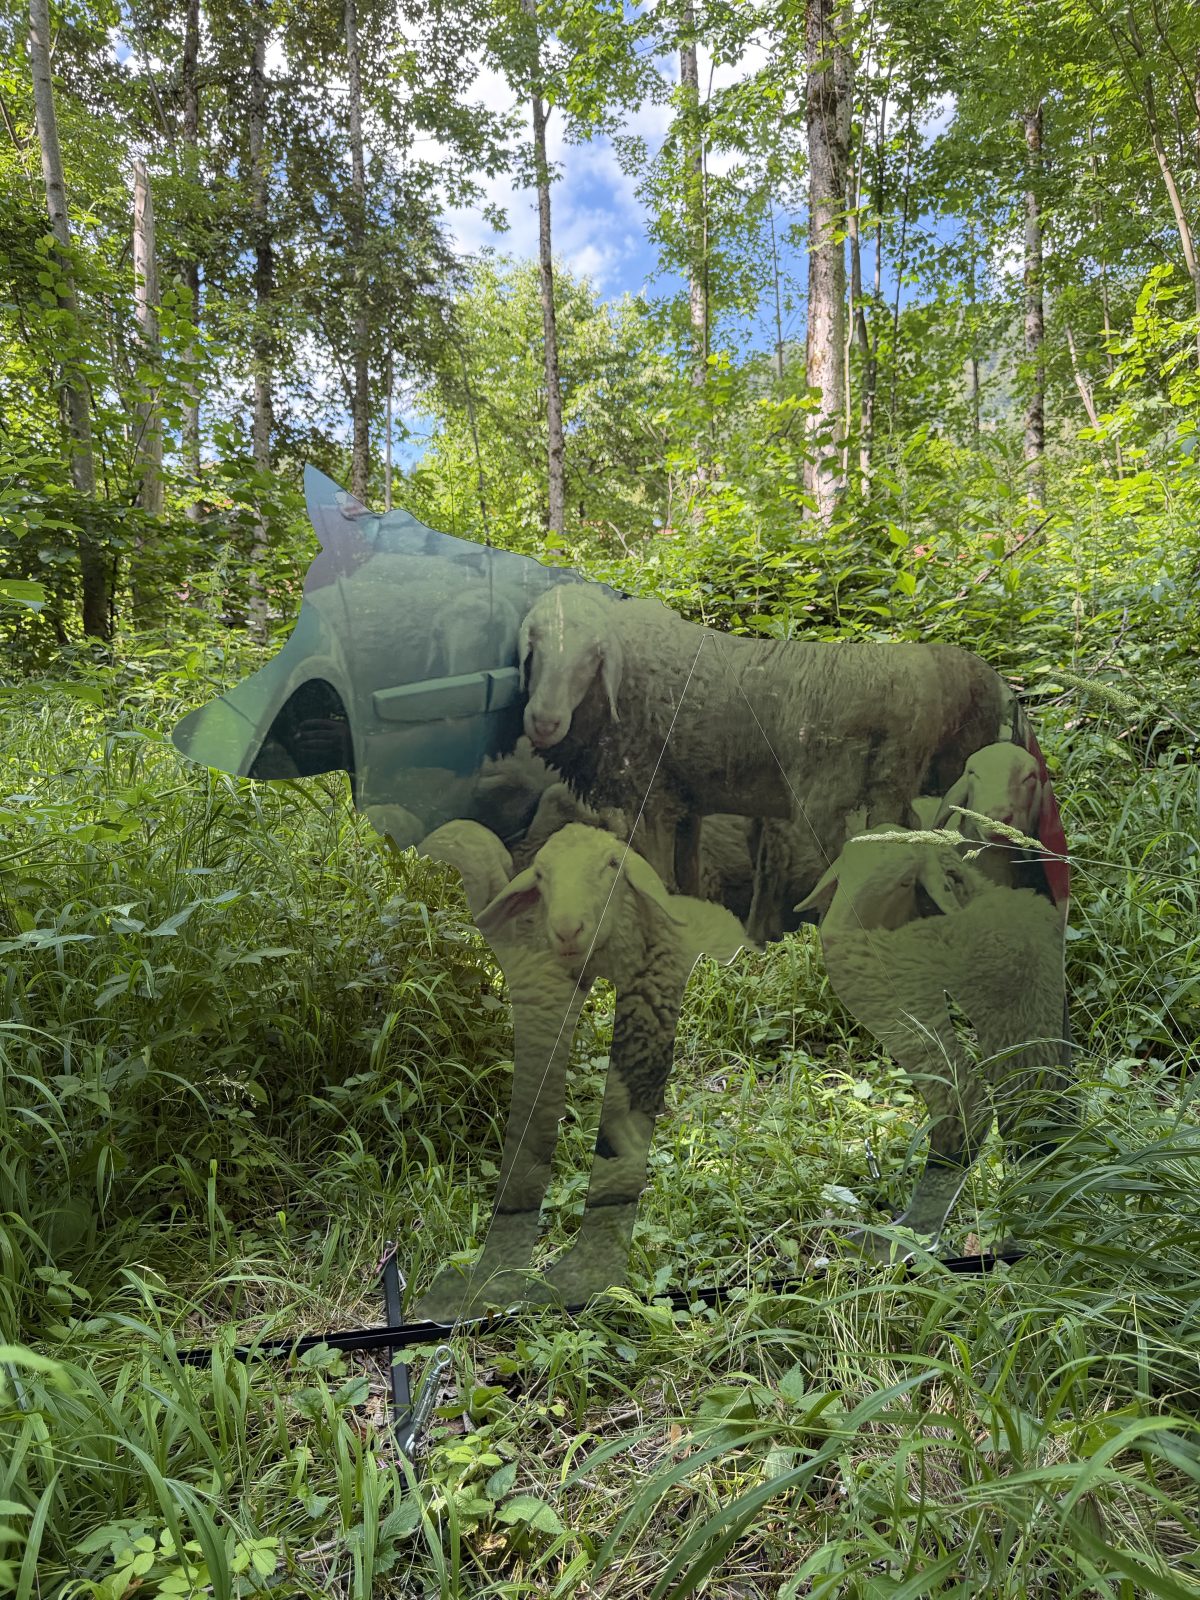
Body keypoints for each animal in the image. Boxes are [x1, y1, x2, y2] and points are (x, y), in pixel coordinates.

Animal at [515, 583, 1012, 941]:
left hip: (836, 792)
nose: (543, 720)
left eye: (595, 655)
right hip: (892, 782)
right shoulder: (683, 797)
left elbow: (660, 879)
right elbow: (687, 877)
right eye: (533, 643)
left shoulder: (648, 796)